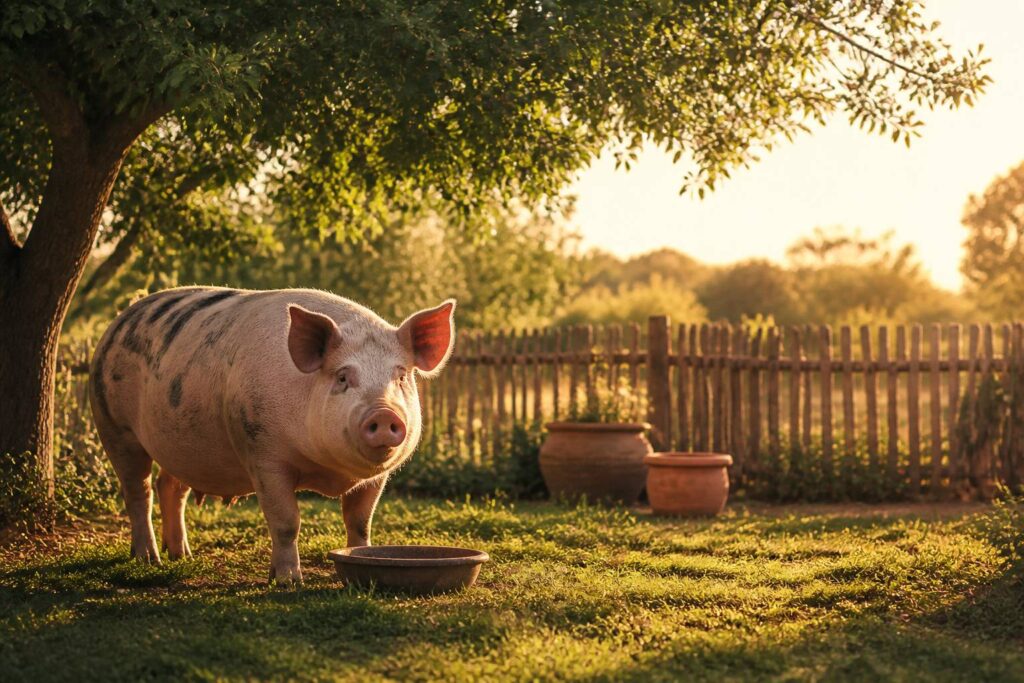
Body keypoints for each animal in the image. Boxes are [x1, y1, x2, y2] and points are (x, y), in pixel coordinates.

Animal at [89, 287, 455, 583]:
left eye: (401, 377)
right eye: (342, 377)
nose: (384, 413)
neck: (329, 473)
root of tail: (120, 319)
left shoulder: (376, 478)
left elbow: (360, 521)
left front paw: (358, 559)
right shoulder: (262, 453)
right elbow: (286, 521)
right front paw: (288, 582)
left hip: (182, 443)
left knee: (171, 487)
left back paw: (182, 555)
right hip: (114, 426)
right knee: (139, 491)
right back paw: (148, 559)